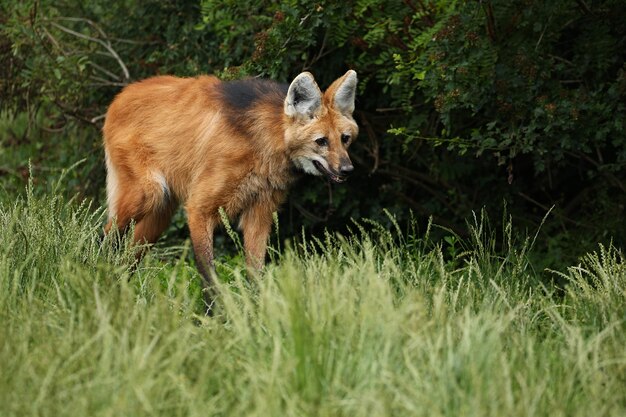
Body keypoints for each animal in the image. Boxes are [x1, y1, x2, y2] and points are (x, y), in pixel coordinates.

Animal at [102, 70, 356, 290]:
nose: (347, 170)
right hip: (148, 194)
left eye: (345, 139)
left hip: (161, 213)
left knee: (129, 255)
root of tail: (121, 96)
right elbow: (209, 276)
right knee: (105, 236)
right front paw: (214, 315)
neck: (262, 143)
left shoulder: (260, 213)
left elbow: (255, 272)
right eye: (321, 141)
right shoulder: (199, 209)